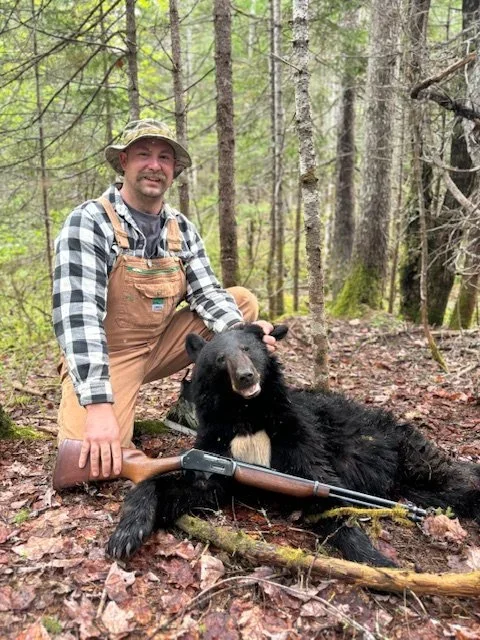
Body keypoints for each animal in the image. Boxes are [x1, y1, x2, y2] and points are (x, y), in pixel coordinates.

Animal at [107, 324, 480, 566]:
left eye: (248, 349)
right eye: (220, 359)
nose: (246, 377)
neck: (246, 417)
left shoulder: (296, 433)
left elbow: (325, 487)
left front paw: (377, 559)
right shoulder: (217, 446)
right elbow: (191, 488)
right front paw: (126, 533)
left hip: (408, 456)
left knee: (453, 480)